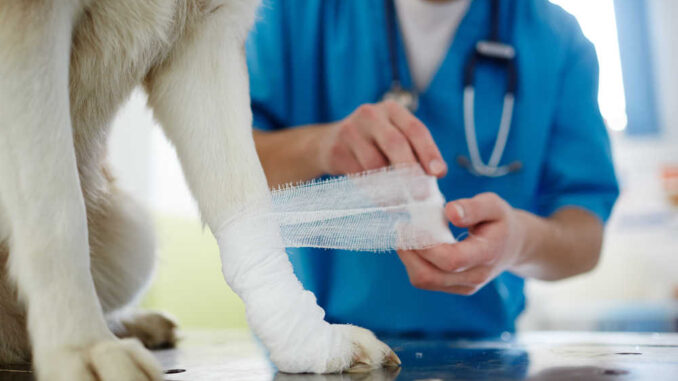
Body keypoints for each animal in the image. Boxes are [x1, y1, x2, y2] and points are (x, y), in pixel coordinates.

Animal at [0, 0, 398, 380]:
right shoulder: (28, 27)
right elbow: (57, 211)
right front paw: (84, 346)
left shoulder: (209, 33)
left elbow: (244, 201)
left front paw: (318, 343)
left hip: (133, 236)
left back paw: (134, 326)